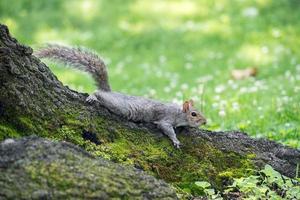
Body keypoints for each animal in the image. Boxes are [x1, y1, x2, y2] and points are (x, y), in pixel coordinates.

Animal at [34, 45, 206, 148]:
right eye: (194, 114)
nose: (205, 121)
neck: (178, 113)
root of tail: (109, 91)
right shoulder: (166, 119)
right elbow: (166, 129)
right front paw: (176, 140)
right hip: (119, 106)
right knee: (98, 94)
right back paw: (93, 97)